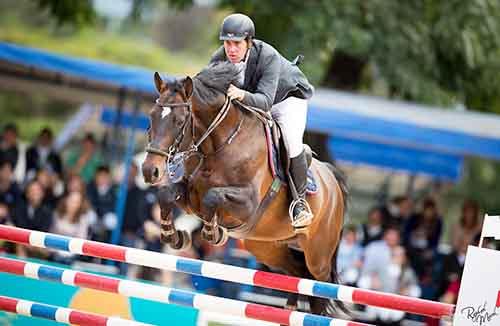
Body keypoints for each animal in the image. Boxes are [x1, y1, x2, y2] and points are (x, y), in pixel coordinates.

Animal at [141, 61, 348, 316]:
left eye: (179, 122)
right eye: (151, 116)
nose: (150, 171)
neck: (219, 145)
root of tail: (333, 180)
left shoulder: (247, 204)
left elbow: (212, 197)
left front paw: (214, 233)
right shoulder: (190, 196)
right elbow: (166, 194)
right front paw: (174, 236)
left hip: (318, 255)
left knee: (319, 286)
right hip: (266, 246)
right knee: (297, 272)